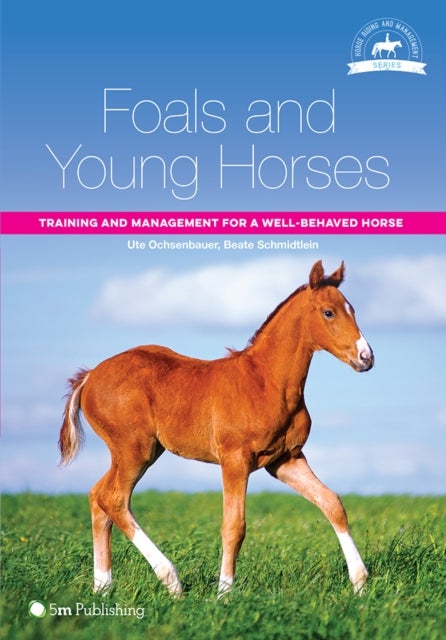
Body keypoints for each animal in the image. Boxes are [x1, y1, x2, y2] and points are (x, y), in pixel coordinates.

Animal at [59, 260, 374, 597]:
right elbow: (234, 526)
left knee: (97, 497)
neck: (266, 382)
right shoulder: (235, 460)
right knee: (113, 499)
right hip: (133, 449)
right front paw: (224, 592)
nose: (366, 358)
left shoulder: (285, 459)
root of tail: (89, 376)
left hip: (140, 451)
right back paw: (171, 580)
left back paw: (102, 587)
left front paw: (359, 582)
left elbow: (332, 503)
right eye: (329, 312)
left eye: (352, 309)